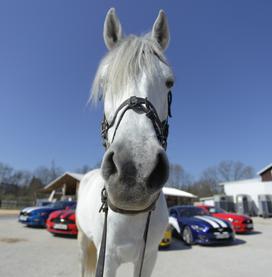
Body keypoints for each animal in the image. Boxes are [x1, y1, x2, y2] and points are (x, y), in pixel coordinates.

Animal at [76, 8, 174, 276]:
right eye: (104, 83)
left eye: (169, 82)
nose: (134, 172)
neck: (131, 215)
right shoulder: (107, 258)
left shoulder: (148, 258)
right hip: (84, 242)